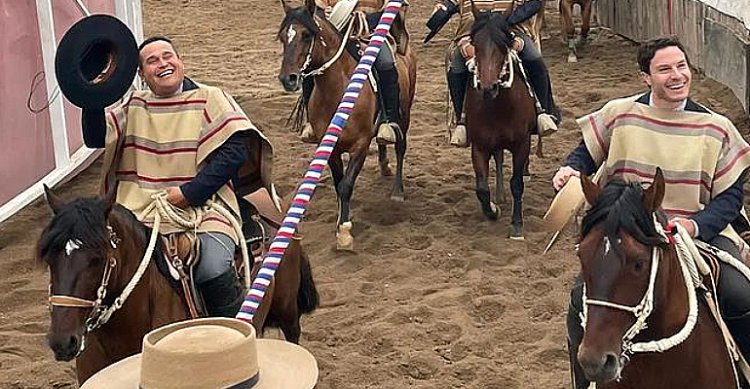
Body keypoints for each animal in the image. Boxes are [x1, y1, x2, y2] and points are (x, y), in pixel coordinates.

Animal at [278, 0, 418, 250]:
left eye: (306, 35)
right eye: (284, 36)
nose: (288, 79)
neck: (339, 91)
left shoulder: (360, 146)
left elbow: (345, 186)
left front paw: (344, 232)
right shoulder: (329, 148)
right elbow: (337, 183)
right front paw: (340, 220)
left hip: (405, 113)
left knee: (401, 147)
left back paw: (398, 191)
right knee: (382, 142)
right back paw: (384, 164)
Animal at [468, 7, 536, 239]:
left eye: (502, 45)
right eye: (475, 44)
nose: (488, 88)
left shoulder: (522, 143)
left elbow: (516, 183)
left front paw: (516, 225)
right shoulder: (479, 145)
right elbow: (481, 188)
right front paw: (492, 210)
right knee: (497, 158)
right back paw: (499, 196)